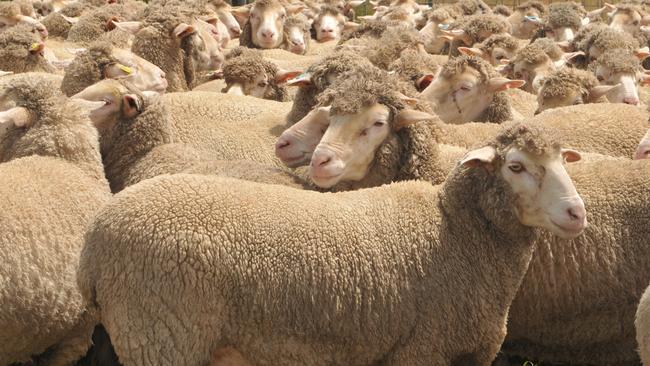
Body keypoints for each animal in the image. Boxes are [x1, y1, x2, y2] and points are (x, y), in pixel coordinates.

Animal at [78, 122, 584, 366]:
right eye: (515, 167)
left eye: (564, 161)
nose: (577, 213)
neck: (458, 235)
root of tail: (92, 241)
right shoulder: (420, 349)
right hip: (161, 336)